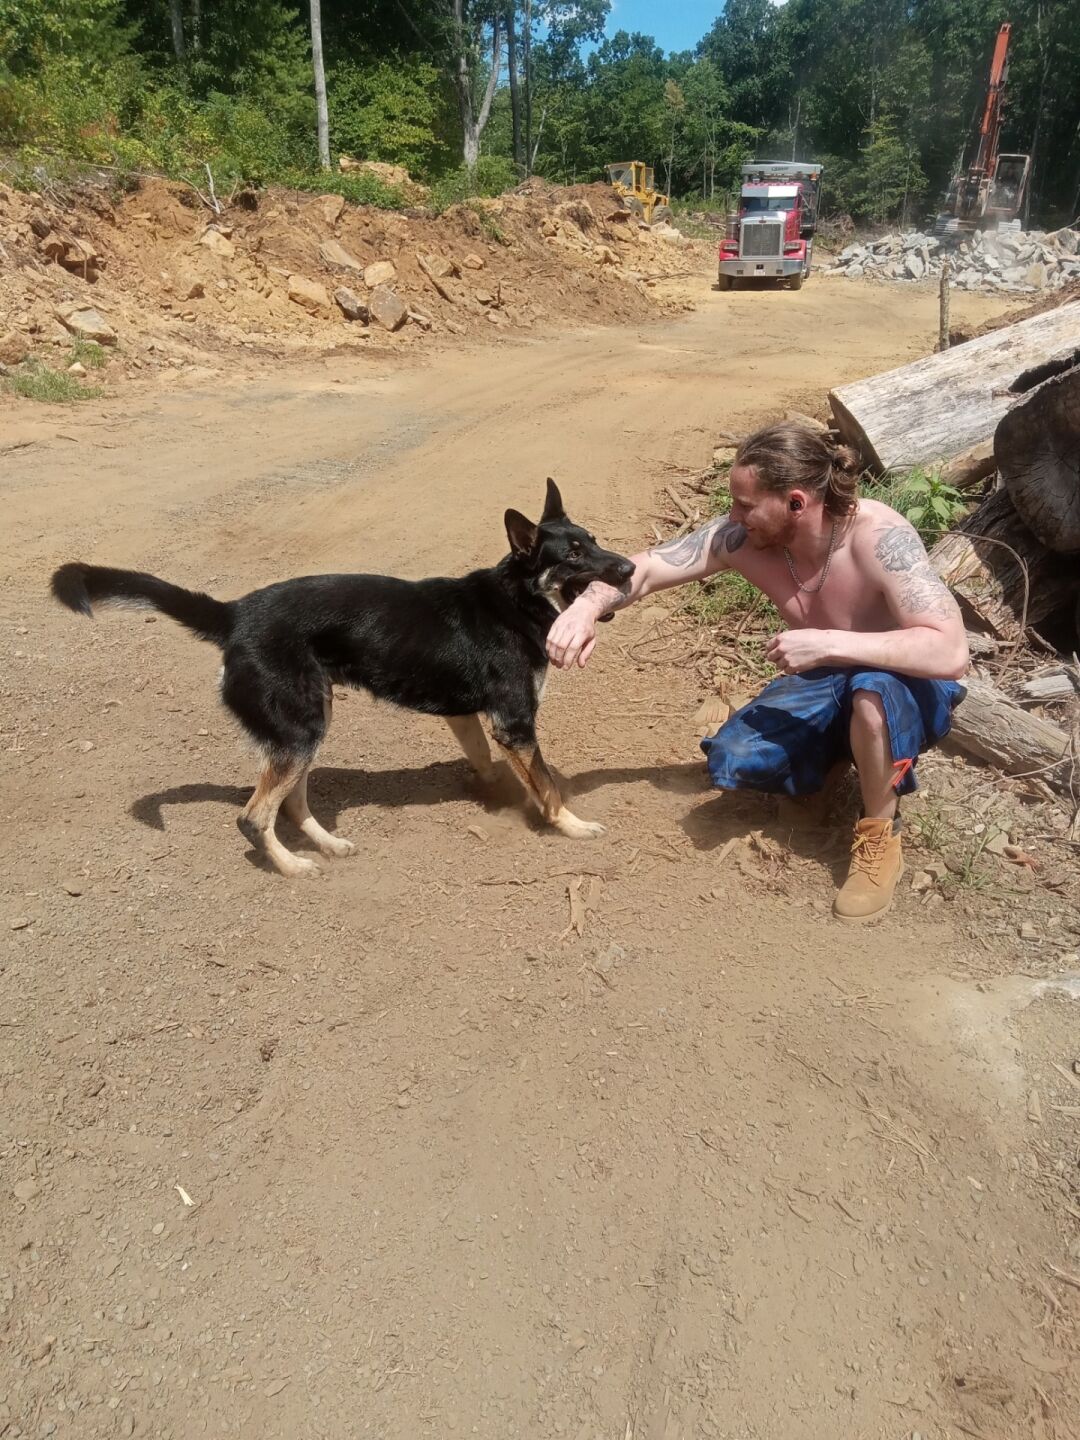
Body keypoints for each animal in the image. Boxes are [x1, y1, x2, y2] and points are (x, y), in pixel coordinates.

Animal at [51, 480, 633, 878]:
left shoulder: (470, 718)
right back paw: (292, 867)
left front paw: (495, 791)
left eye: (594, 539)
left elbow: (490, 761)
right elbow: (548, 786)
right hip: (302, 729)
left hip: (309, 724)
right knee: (253, 816)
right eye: (574, 554)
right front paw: (571, 826)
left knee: (290, 801)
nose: (629, 568)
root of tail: (234, 613)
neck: (516, 600)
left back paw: (326, 844)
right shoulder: (514, 722)